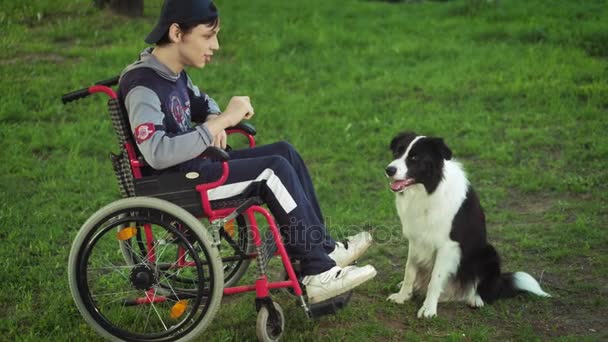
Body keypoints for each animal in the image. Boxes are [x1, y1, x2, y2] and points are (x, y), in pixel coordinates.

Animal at [384, 133, 552, 318]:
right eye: (397, 152)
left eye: (414, 157)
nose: (389, 170)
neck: (429, 190)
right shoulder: (415, 239)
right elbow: (410, 271)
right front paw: (402, 296)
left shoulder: (448, 245)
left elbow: (435, 279)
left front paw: (428, 309)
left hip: (489, 253)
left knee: (482, 288)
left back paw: (475, 299)